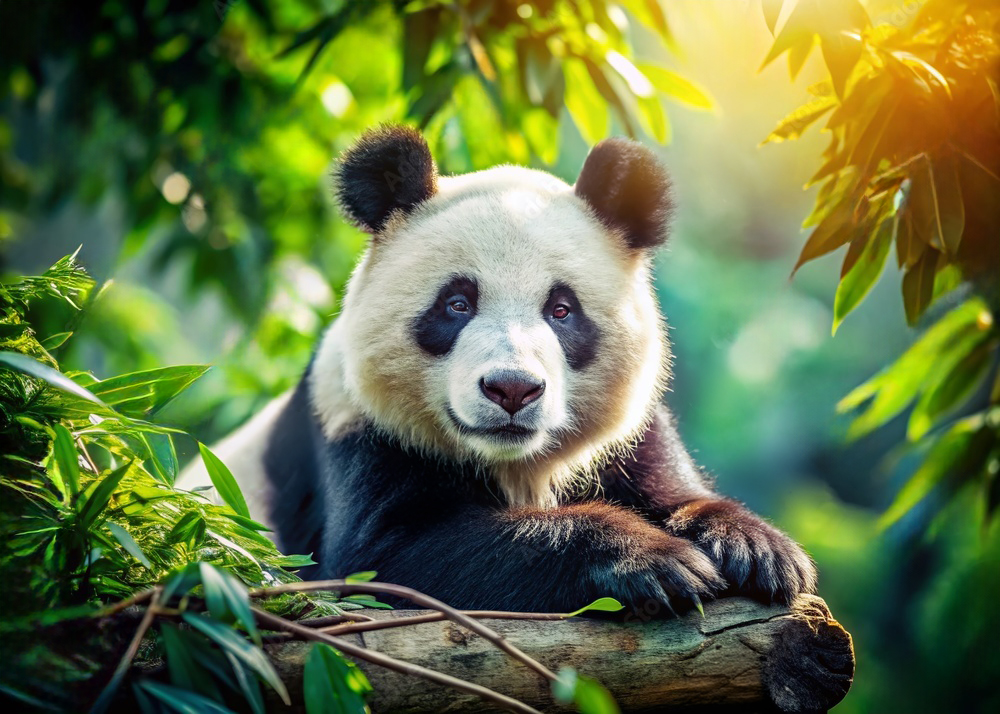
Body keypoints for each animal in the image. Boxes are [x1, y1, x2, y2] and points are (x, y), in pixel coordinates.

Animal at [179, 125, 816, 613]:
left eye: (561, 310)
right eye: (457, 303)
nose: (512, 388)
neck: (513, 462)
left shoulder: (628, 439)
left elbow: (673, 489)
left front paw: (758, 549)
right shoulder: (358, 428)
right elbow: (388, 557)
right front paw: (656, 561)